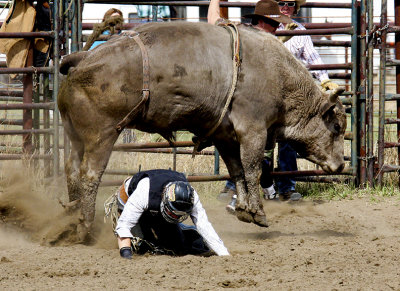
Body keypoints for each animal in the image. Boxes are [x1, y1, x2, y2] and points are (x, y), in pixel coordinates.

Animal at [57, 21, 346, 242]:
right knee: (89, 174)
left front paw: (244, 209)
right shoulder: (252, 130)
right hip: (102, 134)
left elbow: (236, 170)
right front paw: (259, 213)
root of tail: (83, 58)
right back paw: (85, 227)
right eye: (337, 126)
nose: (341, 165)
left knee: (71, 169)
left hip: (75, 136)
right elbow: (253, 169)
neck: (279, 76)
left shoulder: (225, 135)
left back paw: (71, 219)